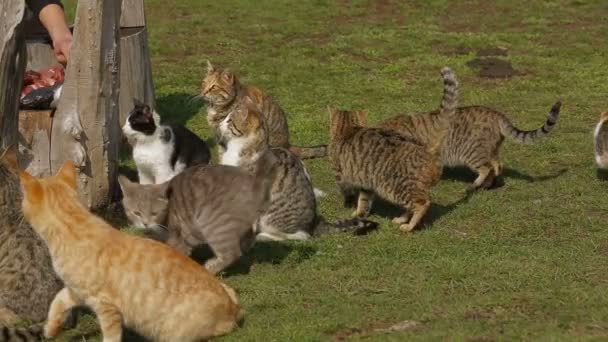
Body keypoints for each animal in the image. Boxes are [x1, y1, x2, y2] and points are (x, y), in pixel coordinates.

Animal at [21, 161, 245, 342]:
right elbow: (56, 302)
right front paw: (50, 329)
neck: (74, 223)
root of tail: (233, 310)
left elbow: (110, 337)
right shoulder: (76, 291)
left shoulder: (106, 306)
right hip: (227, 288)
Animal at [119, 151, 280, 274]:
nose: (145, 224)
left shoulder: (178, 239)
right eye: (136, 213)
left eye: (154, 213)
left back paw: (210, 268)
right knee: (247, 242)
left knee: (232, 253)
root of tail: (255, 182)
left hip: (213, 223)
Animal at [330, 66, 458, 232]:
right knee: (411, 206)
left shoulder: (341, 175)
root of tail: (426, 149)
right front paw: (359, 213)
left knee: (422, 204)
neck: (348, 129)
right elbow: (363, 202)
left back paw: (409, 226)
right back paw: (401, 219)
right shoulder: (366, 184)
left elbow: (349, 194)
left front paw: (349, 206)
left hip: (395, 188)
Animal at [380, 74, 560, 190]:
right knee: (497, 164)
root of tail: (496, 113)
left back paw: (477, 184)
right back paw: (492, 183)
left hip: (472, 151)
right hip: (490, 148)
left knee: (486, 167)